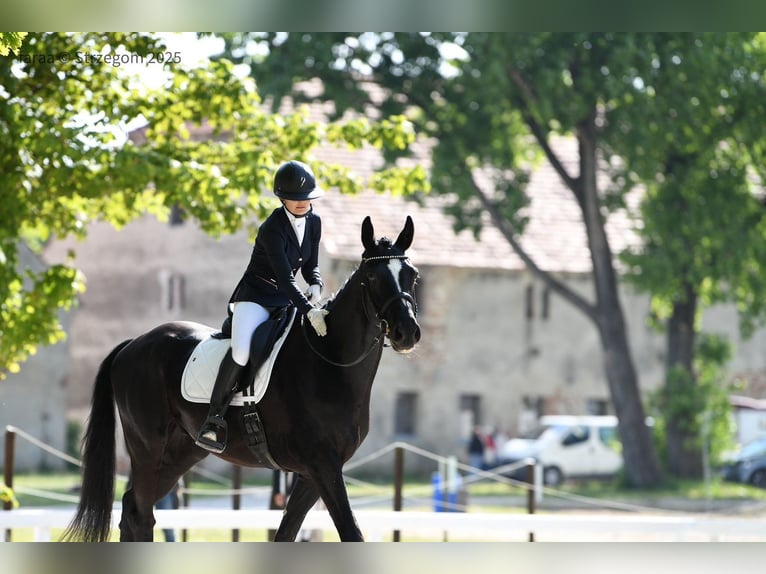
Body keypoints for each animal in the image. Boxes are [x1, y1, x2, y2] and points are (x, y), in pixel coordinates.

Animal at [62, 216, 420, 542]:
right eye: (373, 277)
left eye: (413, 276)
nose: (407, 333)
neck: (329, 359)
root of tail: (133, 343)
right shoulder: (323, 465)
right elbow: (351, 532)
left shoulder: (313, 473)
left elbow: (287, 532)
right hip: (147, 446)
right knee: (140, 513)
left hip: (181, 452)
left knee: (135, 512)